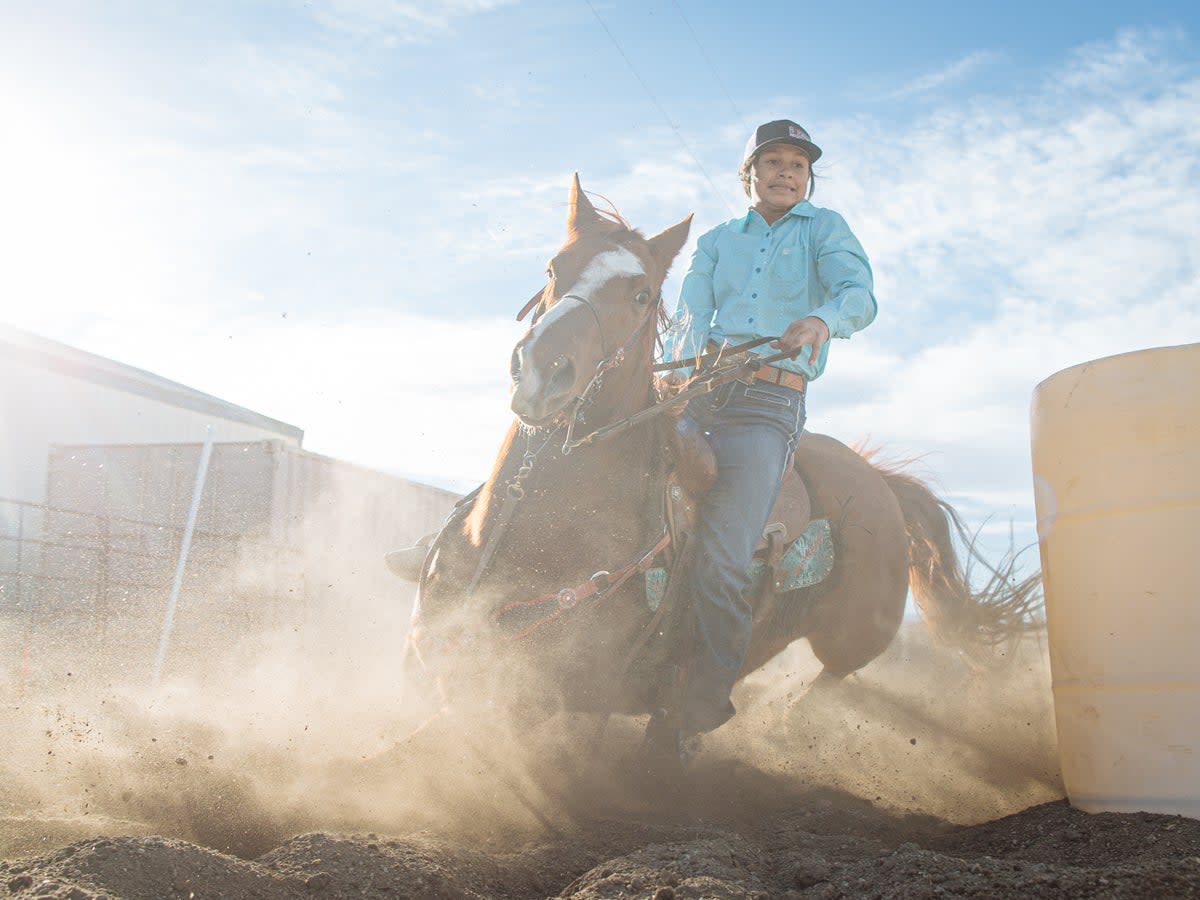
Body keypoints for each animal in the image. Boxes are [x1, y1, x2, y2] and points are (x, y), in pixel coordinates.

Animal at [405, 176, 1041, 753]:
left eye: (641, 294)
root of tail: (881, 485)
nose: (542, 371)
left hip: (853, 639)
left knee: (824, 684)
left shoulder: (540, 699)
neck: (526, 530)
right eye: (553, 267)